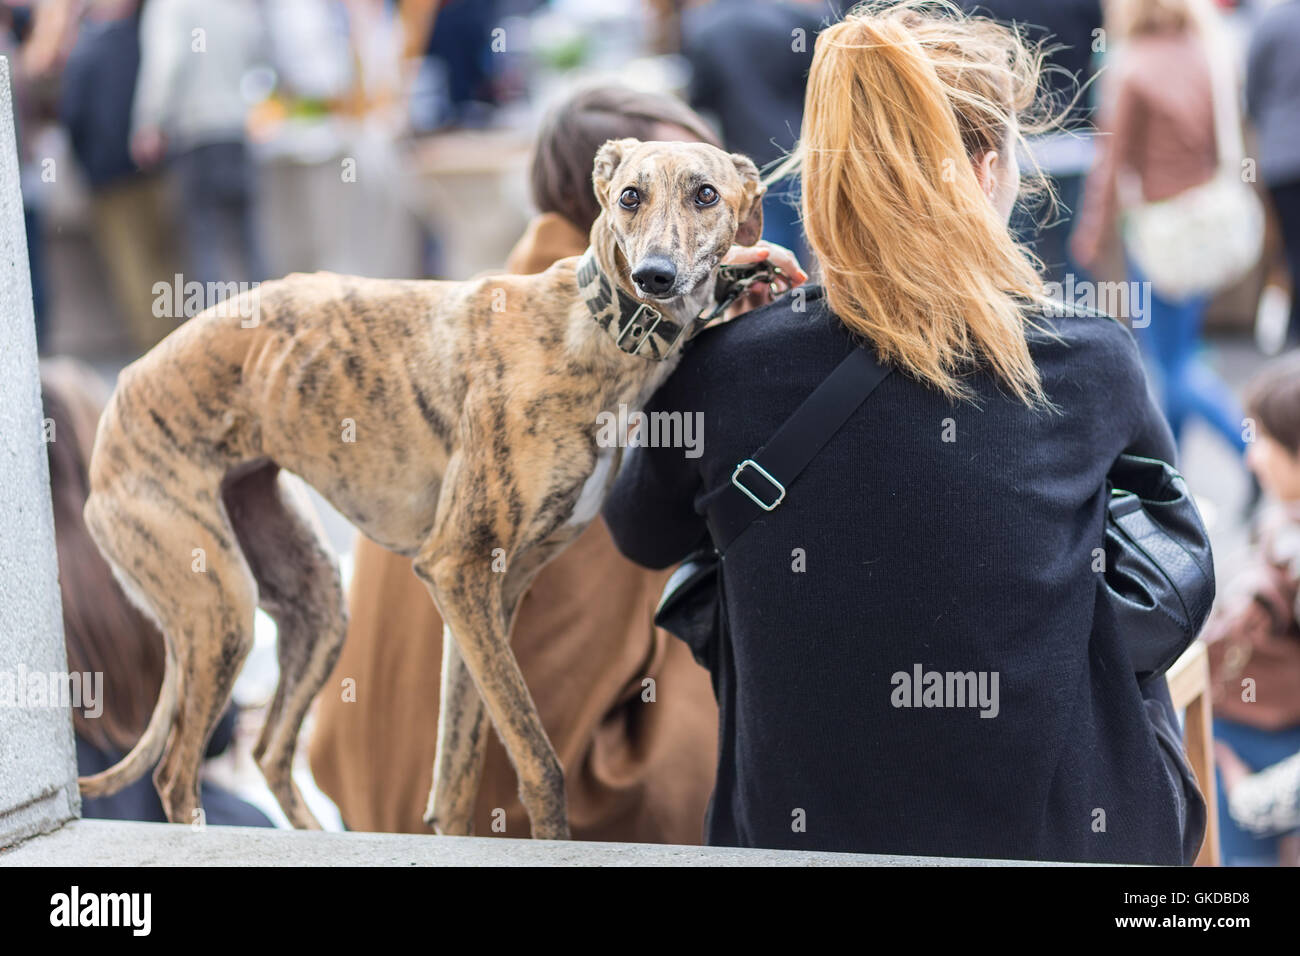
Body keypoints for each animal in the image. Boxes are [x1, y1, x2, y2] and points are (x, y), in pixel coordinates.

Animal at [78, 138, 759, 842]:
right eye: (629, 195)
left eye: (706, 193)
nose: (655, 276)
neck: (590, 328)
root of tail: (120, 391)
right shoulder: (457, 568)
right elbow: (540, 765)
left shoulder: (491, 592)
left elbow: (455, 778)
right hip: (220, 607)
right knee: (175, 773)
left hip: (314, 601)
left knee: (269, 749)